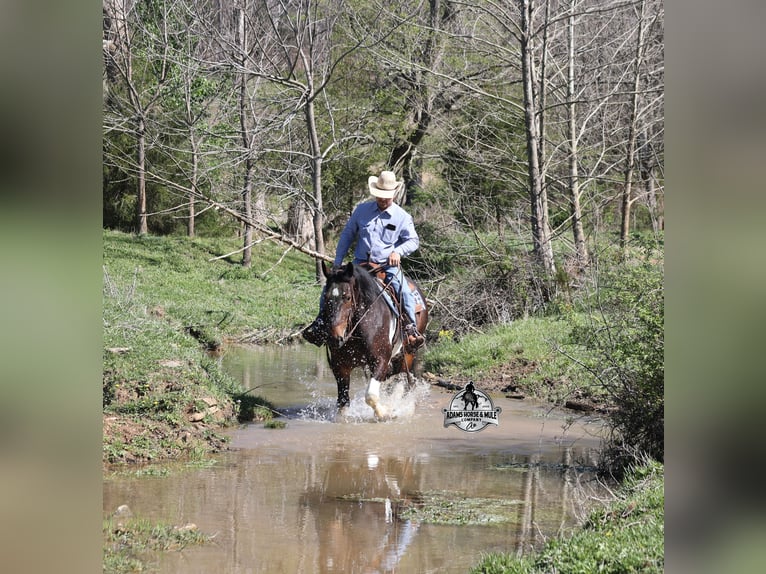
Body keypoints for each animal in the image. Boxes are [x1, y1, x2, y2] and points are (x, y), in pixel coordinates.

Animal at [320, 261, 428, 420]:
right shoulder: (340, 366)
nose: (335, 337)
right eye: (326, 298)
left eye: (347, 297)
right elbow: (343, 402)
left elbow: (370, 395)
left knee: (402, 379)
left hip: (408, 353)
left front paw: (386, 412)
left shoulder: (380, 359)